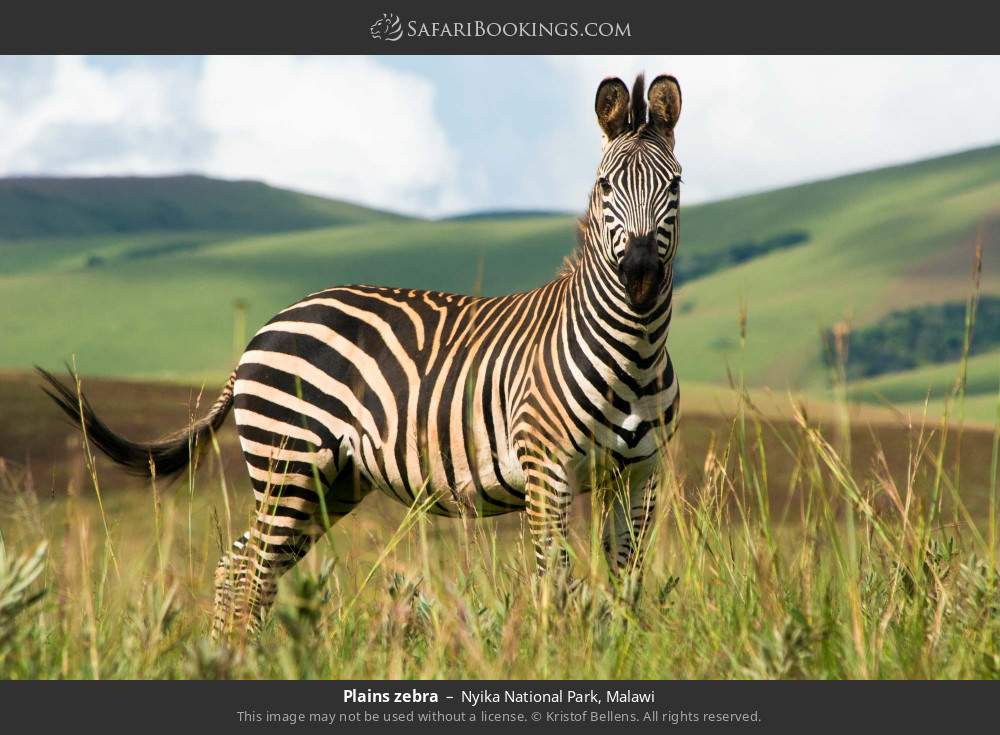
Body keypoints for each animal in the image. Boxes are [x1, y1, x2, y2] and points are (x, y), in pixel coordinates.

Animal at [38, 73, 683, 637]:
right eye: (606, 187)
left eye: (674, 186)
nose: (641, 277)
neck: (633, 355)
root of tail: (266, 328)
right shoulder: (546, 470)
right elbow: (555, 585)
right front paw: (557, 652)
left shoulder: (639, 478)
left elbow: (626, 583)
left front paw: (619, 650)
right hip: (288, 463)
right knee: (252, 572)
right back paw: (242, 656)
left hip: (331, 482)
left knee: (239, 565)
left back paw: (233, 652)